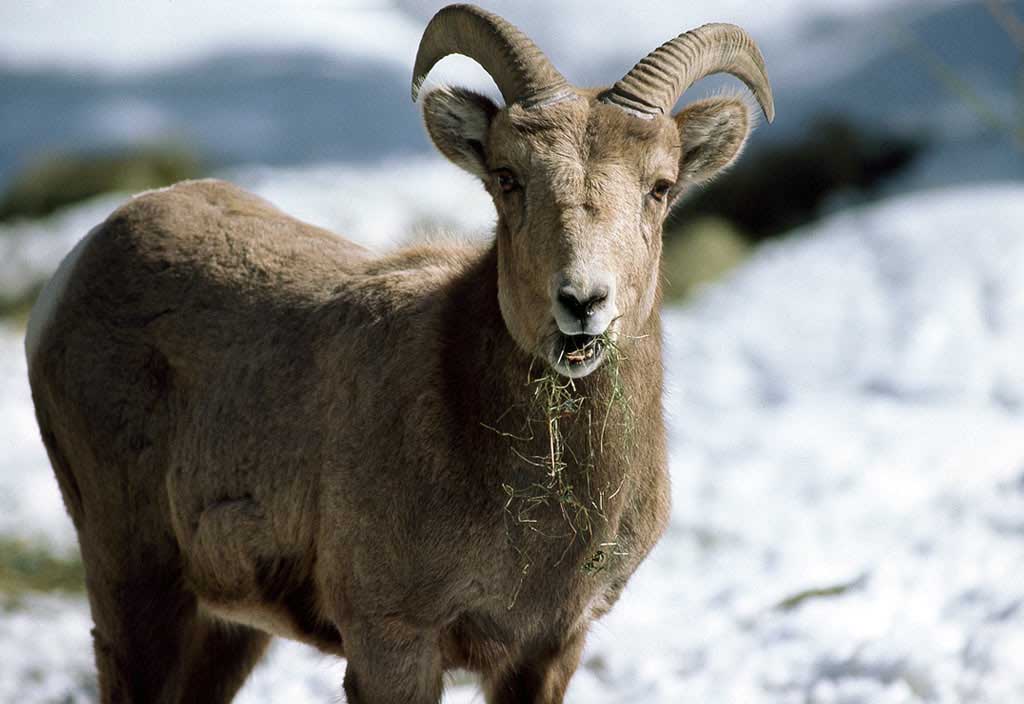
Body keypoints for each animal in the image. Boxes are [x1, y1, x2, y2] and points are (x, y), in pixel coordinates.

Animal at [25, 4, 770, 699]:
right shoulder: (393, 641)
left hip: (226, 627)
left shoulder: (549, 649)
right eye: (508, 177)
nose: (582, 303)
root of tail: (77, 267)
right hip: (137, 589)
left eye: (660, 186)